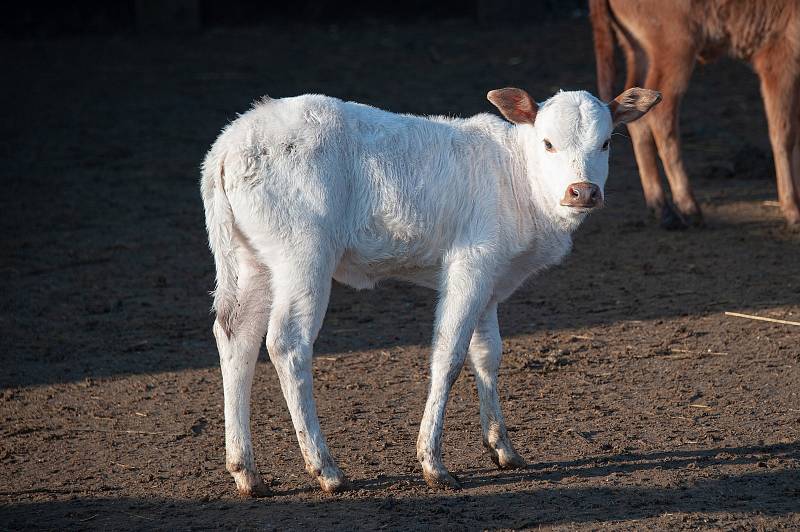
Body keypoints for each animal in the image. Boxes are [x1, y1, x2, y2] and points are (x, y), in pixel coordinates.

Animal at [200, 85, 656, 496]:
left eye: (605, 142)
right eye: (548, 143)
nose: (583, 191)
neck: (517, 179)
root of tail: (229, 145)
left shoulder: (491, 278)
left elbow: (487, 354)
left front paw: (502, 447)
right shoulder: (470, 262)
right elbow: (449, 355)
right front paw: (433, 463)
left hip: (251, 259)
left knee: (236, 336)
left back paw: (246, 472)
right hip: (303, 252)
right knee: (287, 343)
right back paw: (324, 468)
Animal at [588, 0, 800, 230]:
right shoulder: (780, 56)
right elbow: (784, 134)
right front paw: (793, 210)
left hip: (639, 51)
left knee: (638, 117)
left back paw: (663, 210)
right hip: (675, 49)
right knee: (661, 116)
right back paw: (689, 208)